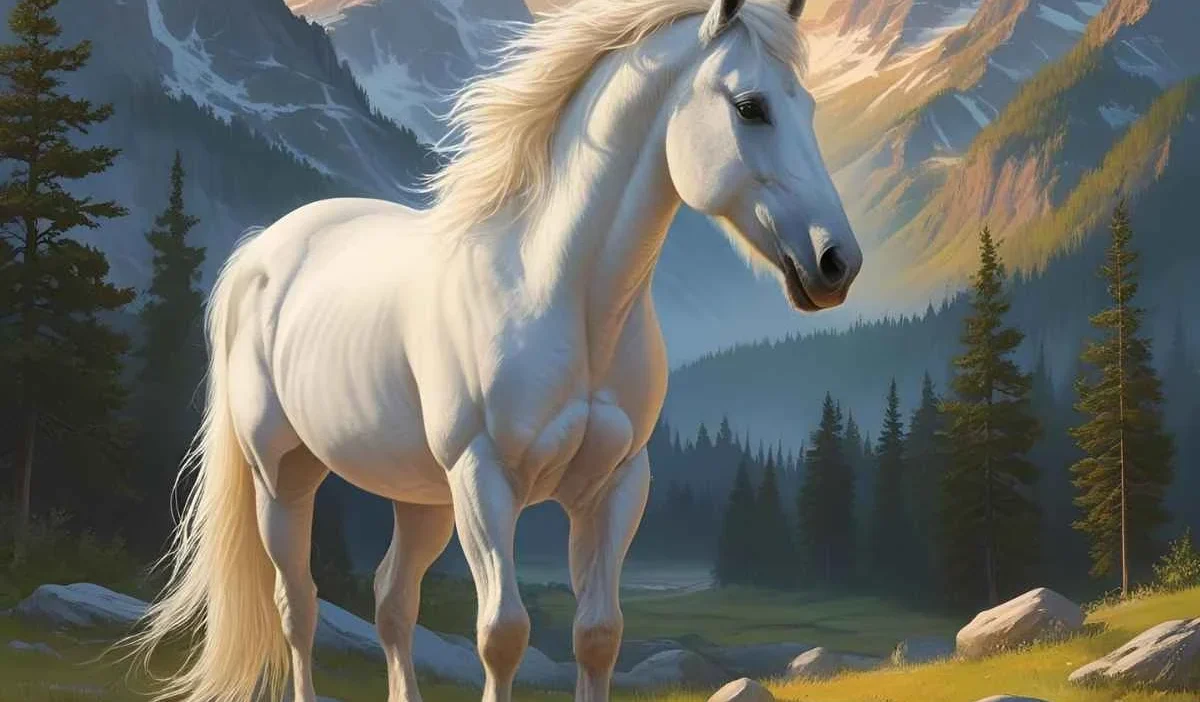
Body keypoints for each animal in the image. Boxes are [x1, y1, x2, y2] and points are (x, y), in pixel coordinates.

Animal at [132, 0, 862, 701]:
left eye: (810, 106)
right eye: (751, 107)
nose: (837, 262)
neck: (556, 291)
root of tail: (261, 250)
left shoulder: (615, 485)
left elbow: (598, 635)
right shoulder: (484, 479)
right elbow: (503, 634)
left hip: (421, 498)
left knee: (392, 601)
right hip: (284, 477)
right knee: (298, 606)